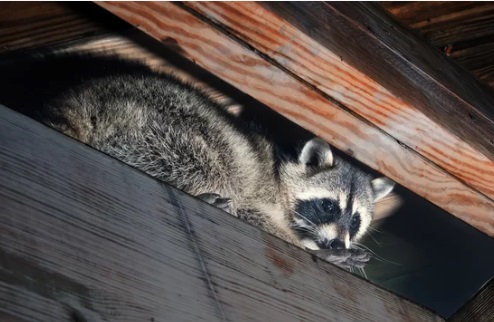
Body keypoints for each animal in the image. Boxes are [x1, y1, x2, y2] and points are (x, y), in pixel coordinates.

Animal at [0, 53, 394, 270]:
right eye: (328, 206)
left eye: (355, 220)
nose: (338, 245)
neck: (281, 175)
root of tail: (83, 95)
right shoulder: (260, 193)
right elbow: (254, 213)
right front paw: (312, 249)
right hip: (161, 124)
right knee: (206, 159)